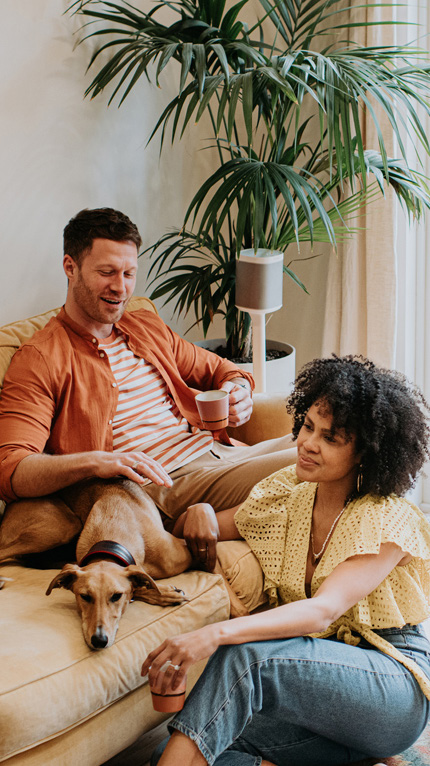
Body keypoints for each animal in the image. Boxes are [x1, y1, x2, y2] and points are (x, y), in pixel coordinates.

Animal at [0, 480, 247, 648]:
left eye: (115, 596)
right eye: (84, 597)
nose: (99, 640)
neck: (112, 529)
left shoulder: (195, 548)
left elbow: (223, 584)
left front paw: (242, 615)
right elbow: (141, 583)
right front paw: (166, 593)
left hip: (64, 527)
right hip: (59, 528)